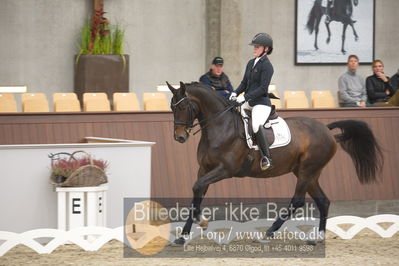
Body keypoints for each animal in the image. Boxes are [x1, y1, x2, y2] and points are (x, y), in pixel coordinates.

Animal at [167, 81, 382, 245]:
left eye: (183, 107)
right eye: (172, 107)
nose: (179, 137)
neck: (220, 127)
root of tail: (326, 130)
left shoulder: (225, 169)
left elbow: (197, 187)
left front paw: (202, 221)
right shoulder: (204, 169)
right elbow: (197, 193)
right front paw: (183, 236)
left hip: (307, 171)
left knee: (297, 201)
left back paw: (269, 232)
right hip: (308, 173)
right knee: (323, 201)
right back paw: (318, 238)